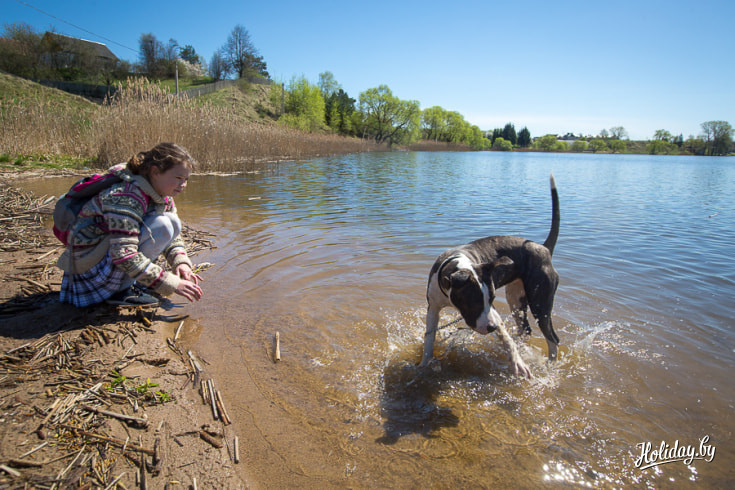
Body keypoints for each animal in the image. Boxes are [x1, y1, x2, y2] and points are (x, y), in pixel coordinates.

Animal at [419, 174, 560, 378]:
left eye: (491, 299)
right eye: (473, 302)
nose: (492, 327)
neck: (457, 265)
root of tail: (543, 248)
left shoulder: (492, 312)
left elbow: (506, 338)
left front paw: (518, 363)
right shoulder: (433, 308)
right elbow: (429, 339)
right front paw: (424, 365)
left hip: (540, 304)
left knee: (552, 338)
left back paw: (550, 364)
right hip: (515, 299)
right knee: (525, 329)